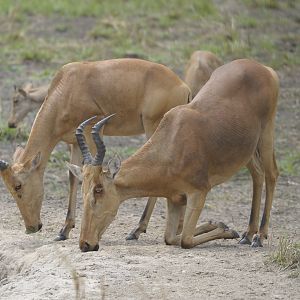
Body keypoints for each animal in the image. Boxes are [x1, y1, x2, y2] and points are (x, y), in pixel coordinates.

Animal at [0, 59, 191, 241]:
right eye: (8, 187)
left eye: (18, 185)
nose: (32, 227)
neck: (68, 85)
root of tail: (183, 86)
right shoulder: (75, 142)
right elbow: (73, 177)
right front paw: (64, 231)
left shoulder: (90, 132)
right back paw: (177, 228)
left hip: (153, 127)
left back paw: (137, 230)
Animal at [68, 58, 278, 251]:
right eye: (83, 188)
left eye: (99, 189)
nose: (85, 243)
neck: (173, 141)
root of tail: (262, 67)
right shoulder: (175, 200)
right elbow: (171, 237)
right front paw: (219, 225)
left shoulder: (199, 193)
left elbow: (186, 239)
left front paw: (228, 230)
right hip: (247, 149)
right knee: (257, 175)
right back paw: (248, 234)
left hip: (266, 134)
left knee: (271, 174)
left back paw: (259, 236)